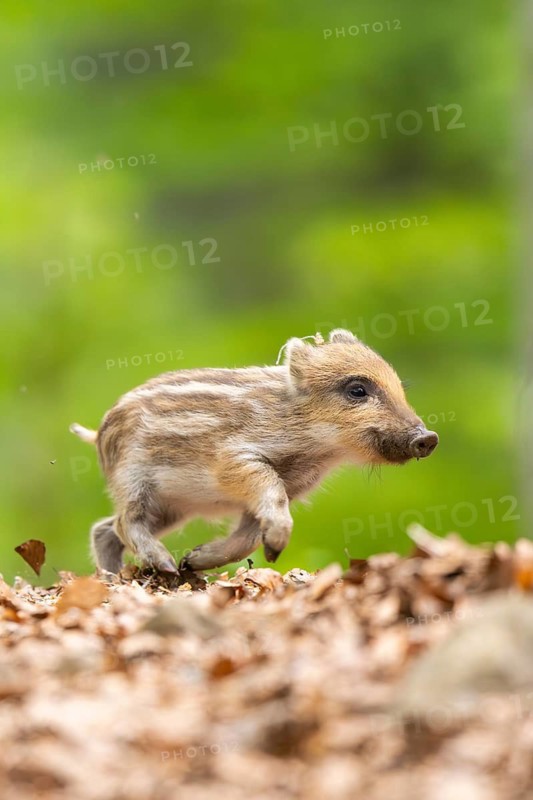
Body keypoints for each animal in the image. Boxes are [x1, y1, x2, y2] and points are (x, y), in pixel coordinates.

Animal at [70, 330, 438, 575]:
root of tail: (100, 431)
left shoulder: (287, 489)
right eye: (357, 390)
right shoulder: (237, 460)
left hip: (170, 507)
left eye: (399, 387)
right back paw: (165, 566)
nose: (428, 438)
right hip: (133, 482)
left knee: (104, 530)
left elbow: (248, 537)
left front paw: (195, 560)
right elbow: (268, 498)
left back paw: (118, 577)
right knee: (123, 523)